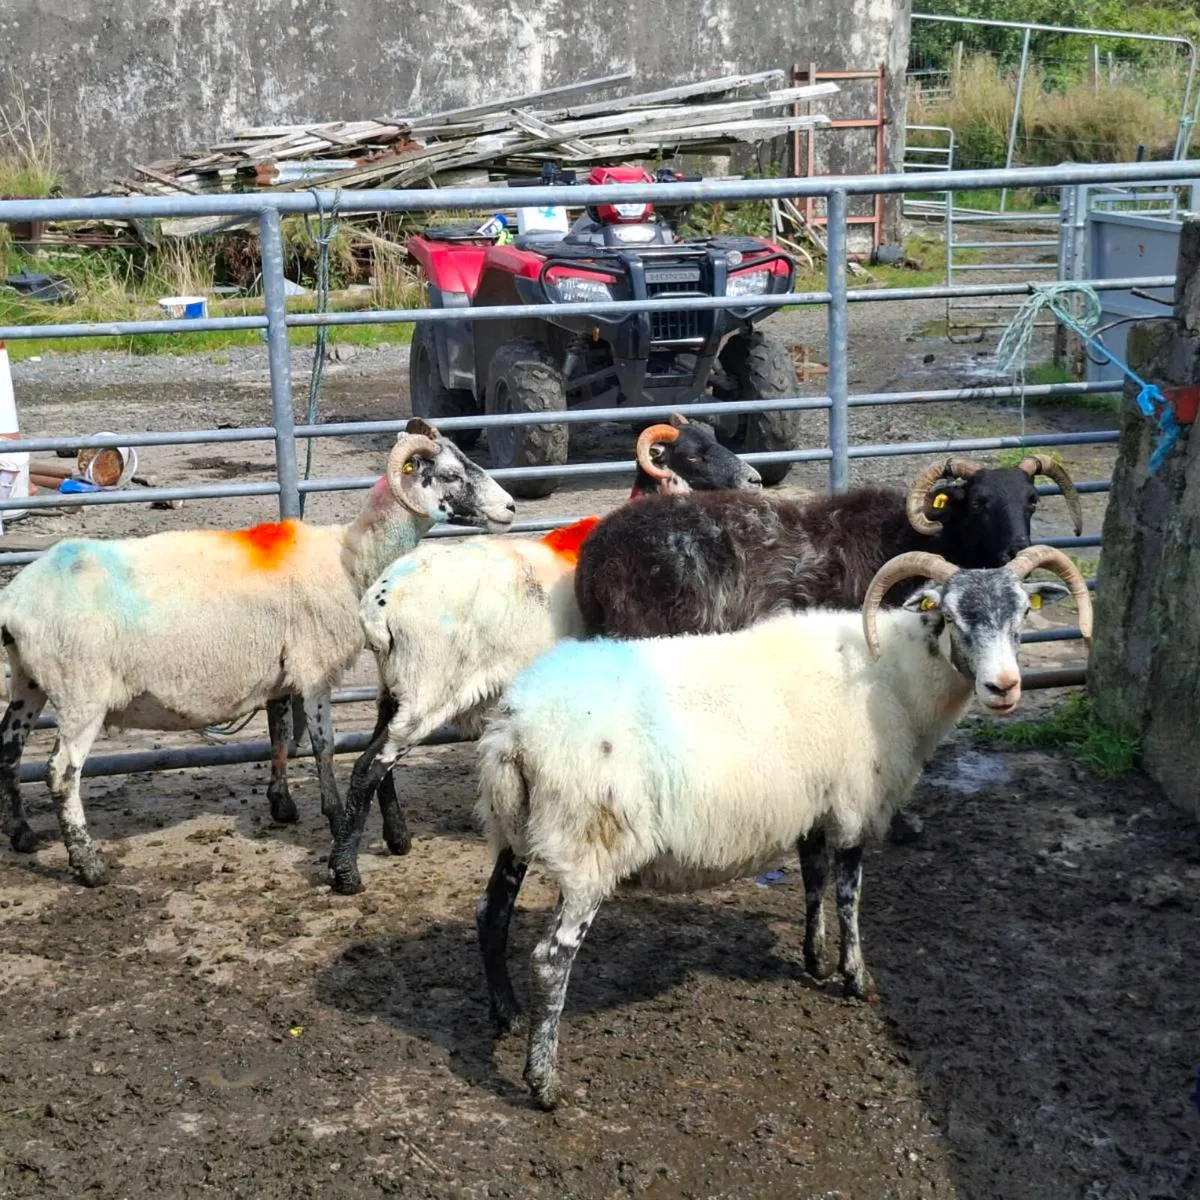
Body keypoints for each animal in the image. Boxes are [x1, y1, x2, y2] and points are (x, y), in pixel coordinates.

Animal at [0, 419, 515, 887]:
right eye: (450, 474)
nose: (511, 507)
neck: (351, 559)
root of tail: (16, 600)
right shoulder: (315, 667)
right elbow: (323, 746)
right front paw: (332, 816)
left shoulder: (277, 671)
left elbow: (278, 731)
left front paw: (281, 803)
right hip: (80, 692)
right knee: (61, 772)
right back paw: (87, 864)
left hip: (28, 680)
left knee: (9, 747)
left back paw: (22, 835)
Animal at [326, 416, 761, 895]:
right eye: (695, 455)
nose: (755, 481)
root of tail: (380, 603)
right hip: (428, 692)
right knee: (368, 766)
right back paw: (345, 872)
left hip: (395, 688)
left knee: (377, 759)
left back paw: (396, 839)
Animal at [475, 544, 1092, 1108]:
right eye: (951, 615)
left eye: (1023, 614)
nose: (1005, 688)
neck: (892, 671)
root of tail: (516, 731)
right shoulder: (854, 803)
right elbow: (849, 897)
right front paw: (855, 978)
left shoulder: (812, 805)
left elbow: (813, 880)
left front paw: (813, 958)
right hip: (590, 849)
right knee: (551, 960)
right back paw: (543, 1082)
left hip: (514, 832)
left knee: (491, 916)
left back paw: (506, 1014)